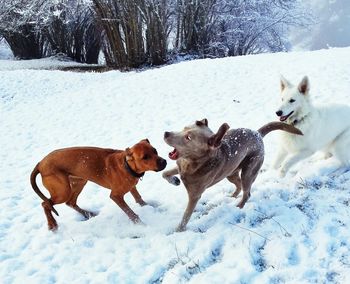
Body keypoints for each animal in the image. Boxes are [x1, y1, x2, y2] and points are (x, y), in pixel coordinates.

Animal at [30, 140, 167, 231]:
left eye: (155, 150)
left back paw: (88, 214)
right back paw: (52, 225)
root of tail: (40, 163)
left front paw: (148, 207)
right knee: (45, 204)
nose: (164, 162)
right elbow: (130, 212)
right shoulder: (115, 196)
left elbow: (138, 198)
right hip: (62, 190)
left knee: (70, 202)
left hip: (79, 181)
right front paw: (141, 225)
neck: (127, 166)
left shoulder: (132, 186)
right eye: (145, 157)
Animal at [163, 118, 302, 232]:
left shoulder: (194, 196)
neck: (192, 163)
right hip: (230, 173)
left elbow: (185, 217)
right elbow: (164, 173)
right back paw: (232, 196)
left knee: (247, 193)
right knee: (239, 185)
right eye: (184, 128)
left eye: (188, 138)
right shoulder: (179, 167)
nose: (165, 133)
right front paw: (174, 180)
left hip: (249, 172)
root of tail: (257, 134)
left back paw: (239, 206)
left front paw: (177, 231)